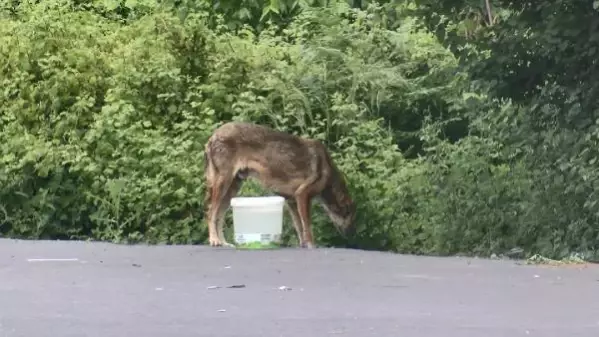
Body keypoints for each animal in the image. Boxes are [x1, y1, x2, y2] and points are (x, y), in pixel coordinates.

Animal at [205, 122, 356, 248]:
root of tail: (213, 136)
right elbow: (307, 226)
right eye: (350, 217)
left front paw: (303, 244)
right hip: (223, 184)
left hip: (232, 189)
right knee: (211, 213)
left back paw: (224, 242)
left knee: (219, 217)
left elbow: (299, 226)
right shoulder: (303, 196)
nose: (351, 234)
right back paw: (214, 240)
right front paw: (311, 245)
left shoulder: (293, 201)